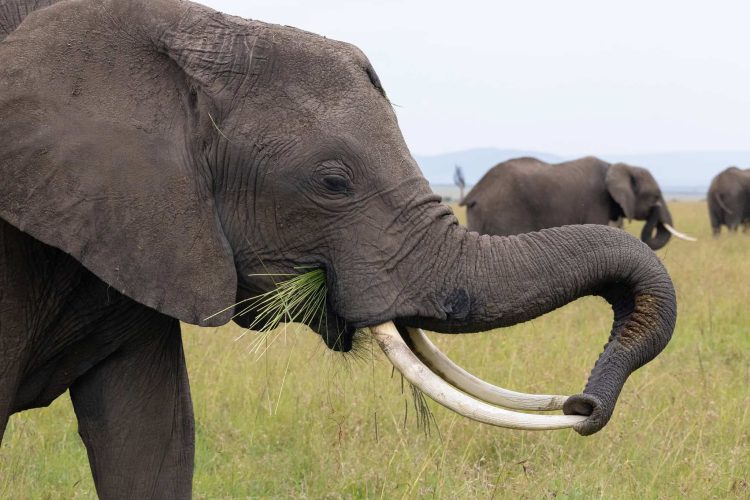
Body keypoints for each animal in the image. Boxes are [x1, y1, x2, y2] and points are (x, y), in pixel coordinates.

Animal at [461, 156, 695, 250]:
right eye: (654, 196)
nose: (656, 209)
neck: (614, 166)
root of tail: (475, 192)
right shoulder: (596, 201)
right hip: (502, 211)